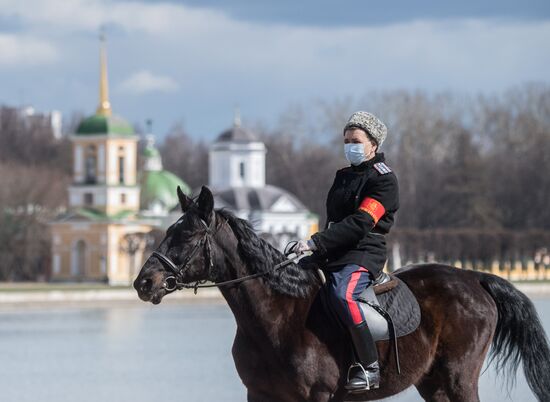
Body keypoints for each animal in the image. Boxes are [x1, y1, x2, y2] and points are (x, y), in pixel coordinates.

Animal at [134, 188, 550, 402]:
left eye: (187, 235)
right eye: (167, 230)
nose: (143, 283)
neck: (276, 317)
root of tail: (475, 278)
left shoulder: (315, 397)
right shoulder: (259, 395)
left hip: (459, 378)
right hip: (434, 383)